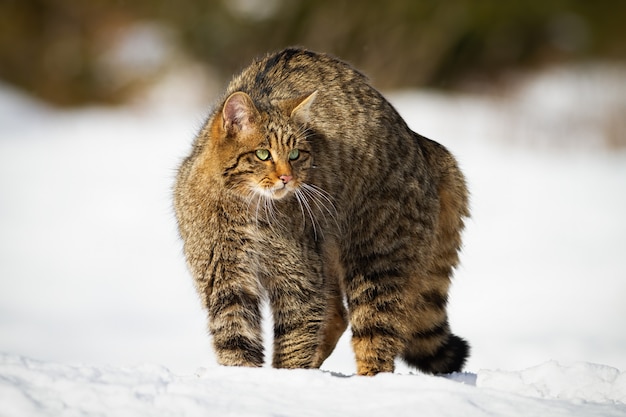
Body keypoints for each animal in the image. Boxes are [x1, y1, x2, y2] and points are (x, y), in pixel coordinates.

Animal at [173, 47, 466, 376]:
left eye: (295, 154)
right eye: (263, 154)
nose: (287, 178)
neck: (249, 209)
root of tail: (421, 142)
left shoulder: (298, 278)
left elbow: (295, 340)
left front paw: (289, 379)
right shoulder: (224, 278)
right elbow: (235, 340)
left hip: (375, 260)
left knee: (374, 337)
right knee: (337, 315)